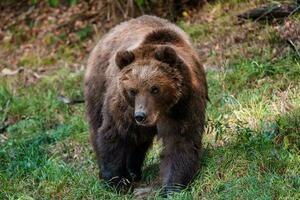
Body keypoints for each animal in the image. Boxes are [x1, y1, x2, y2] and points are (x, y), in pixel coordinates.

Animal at [83, 15, 207, 195]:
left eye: (155, 88)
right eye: (132, 90)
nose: (140, 116)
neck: (162, 111)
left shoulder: (184, 104)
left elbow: (181, 140)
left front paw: (172, 186)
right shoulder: (124, 107)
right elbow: (115, 133)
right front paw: (117, 181)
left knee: (139, 142)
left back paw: (134, 170)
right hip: (98, 85)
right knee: (98, 125)